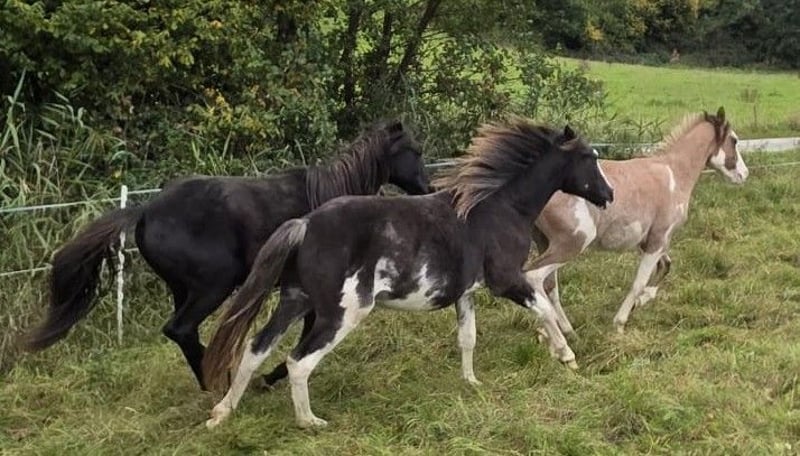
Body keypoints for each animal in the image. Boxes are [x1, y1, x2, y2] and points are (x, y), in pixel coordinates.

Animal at [20, 120, 431, 390]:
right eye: (414, 151)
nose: (427, 189)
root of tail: (146, 211)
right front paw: (272, 376)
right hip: (213, 286)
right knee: (179, 329)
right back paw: (218, 381)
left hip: (184, 290)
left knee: (183, 333)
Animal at [200, 118, 614, 429]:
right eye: (588, 158)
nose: (608, 195)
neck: (497, 208)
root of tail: (305, 225)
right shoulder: (507, 279)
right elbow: (543, 307)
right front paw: (566, 355)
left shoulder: (467, 293)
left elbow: (468, 338)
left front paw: (471, 382)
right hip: (341, 314)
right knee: (298, 362)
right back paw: (310, 422)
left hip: (295, 301)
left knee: (255, 348)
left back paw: (221, 413)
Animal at [525, 107, 748, 339]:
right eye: (734, 140)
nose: (744, 174)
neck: (673, 173)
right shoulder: (659, 238)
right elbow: (639, 283)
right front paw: (620, 322)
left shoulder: (647, 240)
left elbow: (666, 266)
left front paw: (640, 302)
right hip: (572, 243)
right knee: (533, 277)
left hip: (545, 242)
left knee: (550, 286)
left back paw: (567, 331)